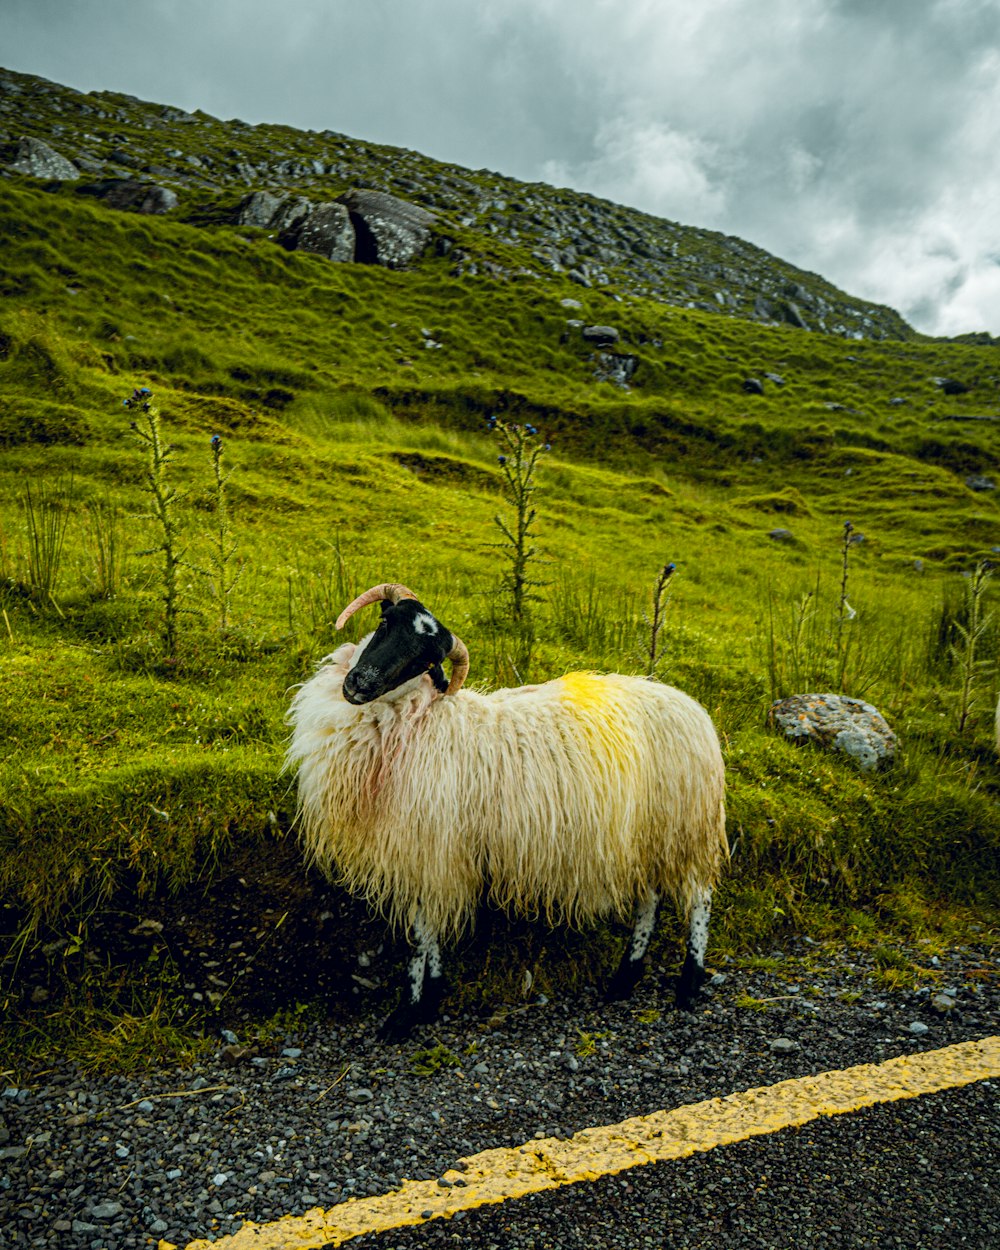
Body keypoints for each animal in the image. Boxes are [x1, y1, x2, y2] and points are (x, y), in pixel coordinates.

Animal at [283, 580, 725, 1040]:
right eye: (386, 623)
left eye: (425, 660)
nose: (359, 684)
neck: (418, 724)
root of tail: (689, 704)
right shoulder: (436, 857)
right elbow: (430, 932)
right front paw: (431, 999)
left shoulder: (429, 852)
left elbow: (421, 934)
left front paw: (407, 1013)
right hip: (649, 833)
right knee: (650, 899)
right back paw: (625, 978)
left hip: (688, 823)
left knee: (698, 897)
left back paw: (689, 983)